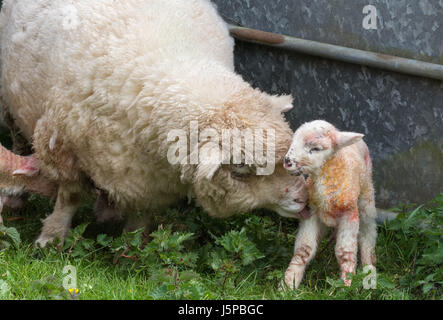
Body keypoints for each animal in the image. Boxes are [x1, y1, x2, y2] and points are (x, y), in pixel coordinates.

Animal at [0, 0, 308, 248]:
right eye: (240, 172)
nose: (304, 199)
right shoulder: (62, 145)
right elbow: (70, 196)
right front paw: (51, 238)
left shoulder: (150, 179)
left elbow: (139, 217)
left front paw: (130, 252)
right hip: (11, 105)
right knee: (20, 143)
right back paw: (16, 200)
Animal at [282, 120, 376, 290]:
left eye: (315, 148)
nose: (287, 161)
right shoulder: (312, 213)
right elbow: (304, 249)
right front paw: (288, 284)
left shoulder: (349, 214)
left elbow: (345, 252)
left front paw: (346, 285)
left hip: (366, 196)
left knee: (368, 232)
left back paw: (369, 270)